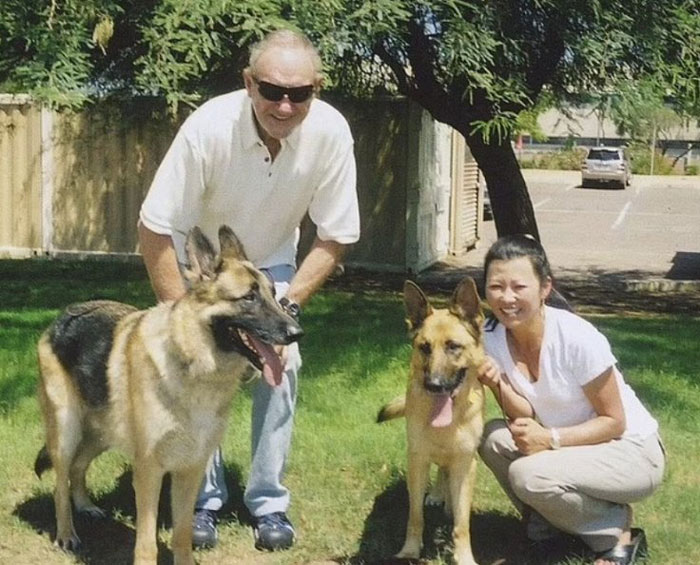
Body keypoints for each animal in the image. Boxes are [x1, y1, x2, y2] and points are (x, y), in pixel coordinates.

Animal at [34, 226, 304, 564]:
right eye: (249, 297)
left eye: (274, 296)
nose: (297, 333)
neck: (194, 364)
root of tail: (64, 315)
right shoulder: (149, 471)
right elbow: (147, 543)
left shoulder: (190, 470)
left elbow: (183, 533)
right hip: (67, 430)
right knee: (61, 481)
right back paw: (66, 533)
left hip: (102, 433)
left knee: (78, 467)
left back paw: (85, 505)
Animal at [378, 278, 486, 564]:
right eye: (424, 347)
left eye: (453, 346)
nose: (434, 385)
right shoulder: (417, 460)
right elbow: (415, 516)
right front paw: (410, 550)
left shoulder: (465, 463)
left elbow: (462, 524)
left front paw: (464, 556)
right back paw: (438, 495)